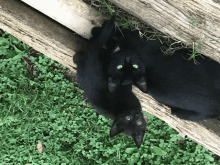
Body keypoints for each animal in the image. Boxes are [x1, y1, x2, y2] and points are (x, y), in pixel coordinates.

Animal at [73, 15, 147, 147]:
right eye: (128, 119)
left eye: (138, 123)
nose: (137, 115)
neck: (120, 111)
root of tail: (90, 61)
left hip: (81, 62)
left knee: (76, 57)